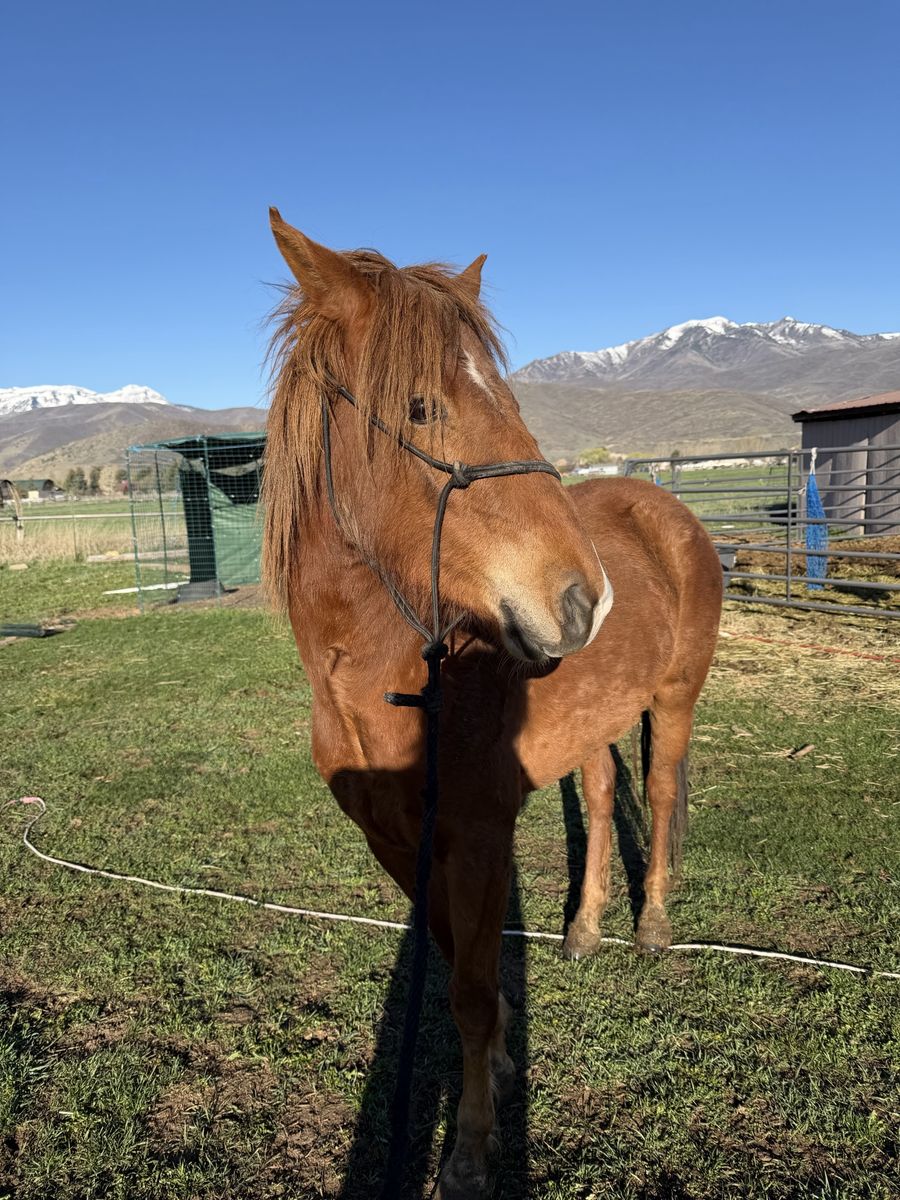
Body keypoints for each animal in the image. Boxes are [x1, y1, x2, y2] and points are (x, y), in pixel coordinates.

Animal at [262, 209, 723, 1199]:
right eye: (420, 407)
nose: (587, 600)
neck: (385, 673)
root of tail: (662, 506)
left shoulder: (475, 837)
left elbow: (470, 989)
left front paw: (471, 1147)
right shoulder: (399, 843)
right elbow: (452, 963)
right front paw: (506, 1056)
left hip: (674, 700)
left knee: (660, 793)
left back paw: (651, 929)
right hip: (595, 721)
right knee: (601, 798)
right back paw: (584, 932)